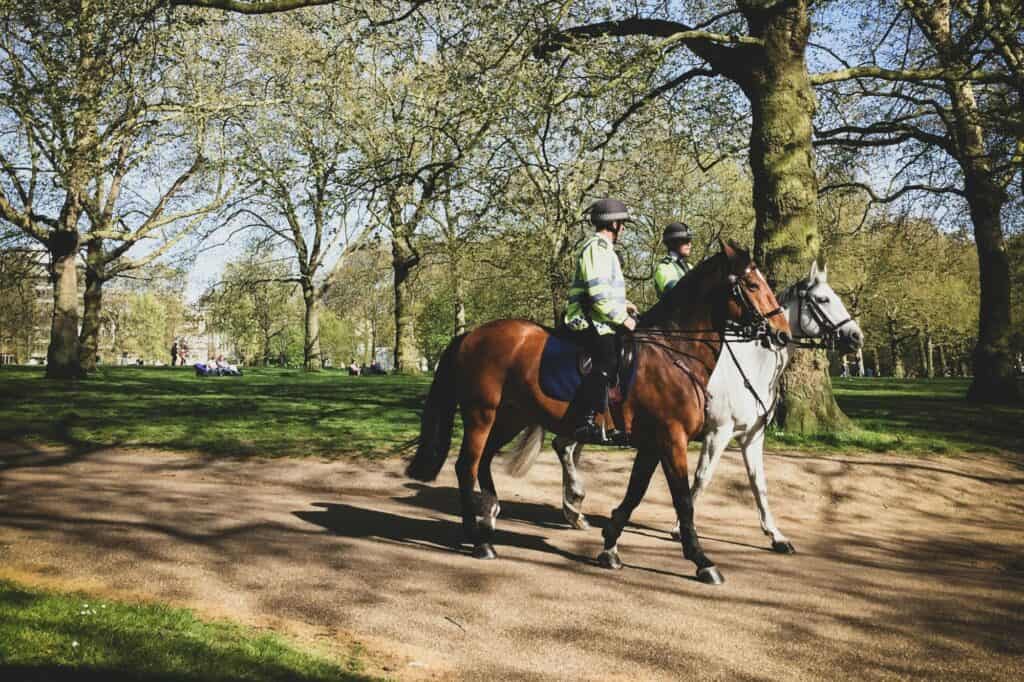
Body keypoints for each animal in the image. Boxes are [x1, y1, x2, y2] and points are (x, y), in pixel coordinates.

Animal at [403, 238, 786, 577]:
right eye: (753, 284)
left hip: (510, 417)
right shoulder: (672, 439)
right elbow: (683, 498)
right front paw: (701, 560)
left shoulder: (654, 443)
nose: (782, 331)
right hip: (481, 415)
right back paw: (478, 538)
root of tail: (471, 335)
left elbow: (635, 494)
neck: (674, 353)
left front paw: (610, 545)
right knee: (466, 466)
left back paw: (490, 516)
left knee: (483, 462)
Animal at [503, 260, 864, 552]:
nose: (856, 338)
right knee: (564, 448)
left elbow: (758, 484)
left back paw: (574, 511)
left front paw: (776, 536)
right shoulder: (717, 433)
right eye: (823, 299)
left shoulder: (751, 437)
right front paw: (679, 528)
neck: (751, 365)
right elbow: (702, 478)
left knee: (566, 447)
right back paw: (575, 504)